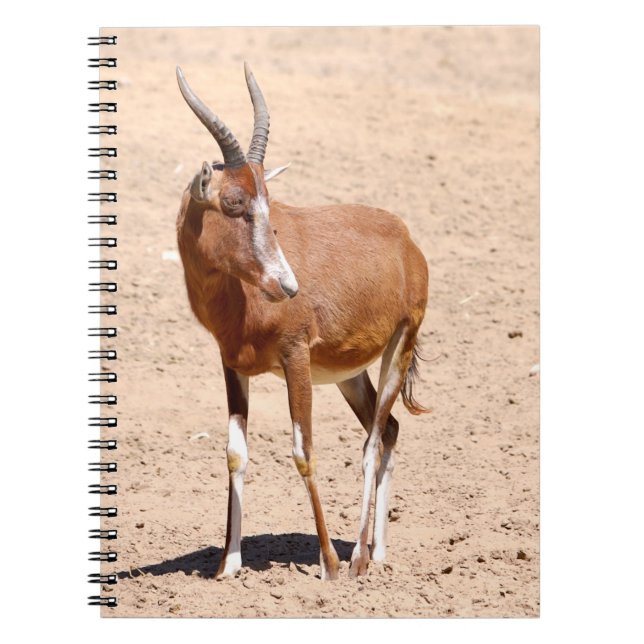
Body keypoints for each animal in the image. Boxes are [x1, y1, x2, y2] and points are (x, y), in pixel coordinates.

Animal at [175, 64, 429, 581]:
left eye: (269, 201)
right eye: (234, 202)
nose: (288, 285)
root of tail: (405, 240)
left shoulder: (295, 358)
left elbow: (304, 451)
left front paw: (328, 563)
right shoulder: (232, 365)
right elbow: (236, 453)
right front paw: (227, 567)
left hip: (400, 345)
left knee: (373, 443)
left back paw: (356, 562)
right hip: (349, 374)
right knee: (390, 429)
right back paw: (379, 553)